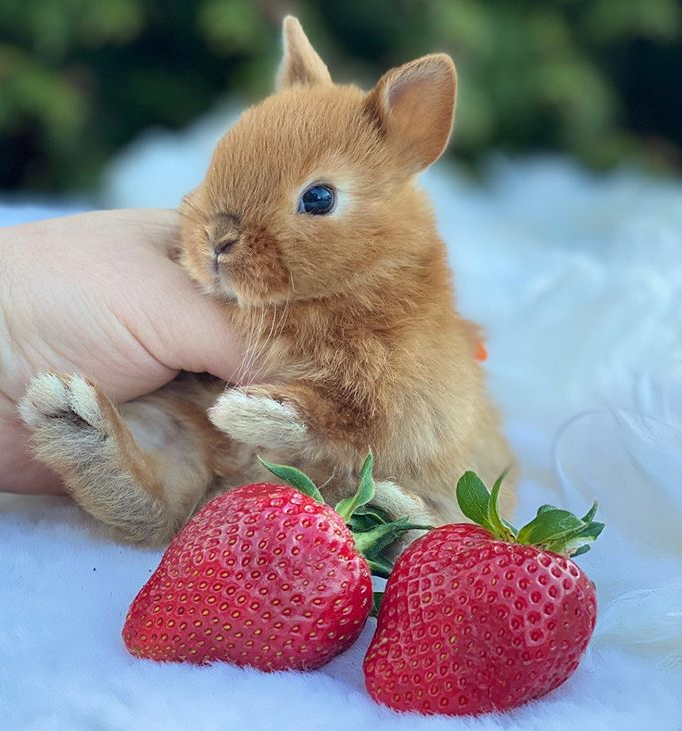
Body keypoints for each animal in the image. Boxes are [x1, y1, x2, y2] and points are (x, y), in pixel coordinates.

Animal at [18, 15, 512, 548]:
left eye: (319, 197)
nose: (217, 239)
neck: (363, 275)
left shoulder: (411, 404)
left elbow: (345, 420)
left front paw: (251, 412)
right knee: (154, 501)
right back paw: (71, 417)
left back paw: (388, 513)